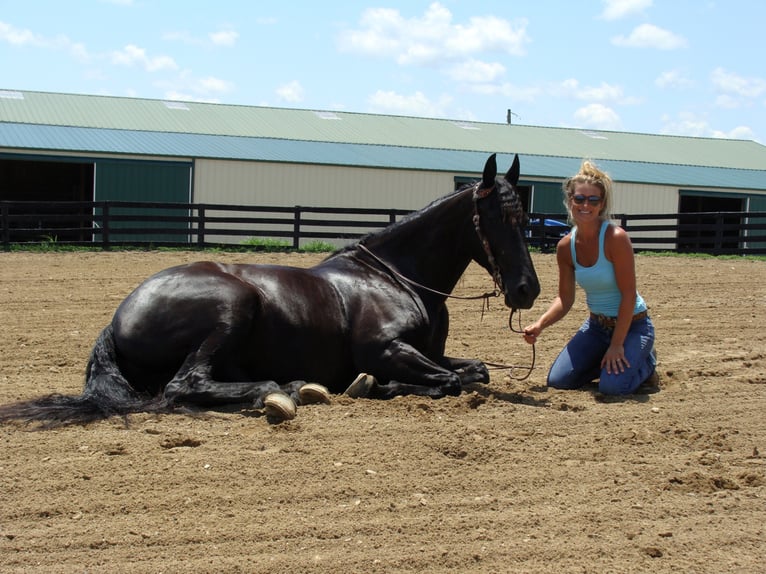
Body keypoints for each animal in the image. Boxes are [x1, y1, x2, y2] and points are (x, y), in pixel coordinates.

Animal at [0, 153, 540, 428]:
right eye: (496, 216)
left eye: (526, 216)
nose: (527, 290)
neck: (396, 277)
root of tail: (117, 319)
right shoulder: (384, 349)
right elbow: (449, 382)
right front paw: (372, 385)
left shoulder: (431, 351)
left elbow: (475, 370)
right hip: (232, 306)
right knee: (183, 387)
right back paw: (287, 389)